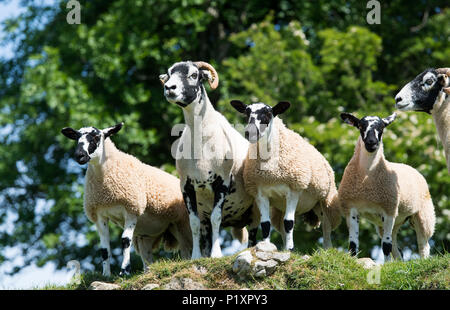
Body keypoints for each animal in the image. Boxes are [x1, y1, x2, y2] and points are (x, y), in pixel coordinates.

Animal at [61, 122, 192, 274]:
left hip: (183, 224)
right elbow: (104, 249)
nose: (79, 155)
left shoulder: (132, 209)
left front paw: (125, 270)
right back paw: (147, 272)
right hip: (147, 235)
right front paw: (106, 274)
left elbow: (125, 241)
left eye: (97, 137)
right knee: (147, 257)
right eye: (76, 138)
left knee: (189, 249)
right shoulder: (99, 215)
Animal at [161, 61, 260, 260]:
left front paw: (216, 254)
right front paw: (196, 257)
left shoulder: (222, 182)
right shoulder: (186, 186)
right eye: (169, 74)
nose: (169, 88)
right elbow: (193, 222)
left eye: (193, 75)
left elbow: (216, 218)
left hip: (255, 210)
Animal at [230, 100, 340, 251]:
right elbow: (266, 224)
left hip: (324, 200)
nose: (250, 132)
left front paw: (290, 249)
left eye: (268, 113)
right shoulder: (260, 194)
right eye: (246, 113)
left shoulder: (294, 189)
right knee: (281, 225)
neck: (271, 174)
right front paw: (266, 246)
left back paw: (327, 249)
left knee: (326, 226)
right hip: (280, 207)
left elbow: (289, 222)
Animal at [340, 112, 434, 260]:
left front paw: (386, 264)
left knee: (423, 244)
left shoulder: (389, 209)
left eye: (382, 127)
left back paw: (423, 260)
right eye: (360, 126)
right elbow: (353, 244)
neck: (366, 178)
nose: (371, 142)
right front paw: (353, 261)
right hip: (393, 222)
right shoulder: (351, 210)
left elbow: (386, 245)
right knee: (397, 249)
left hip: (424, 215)